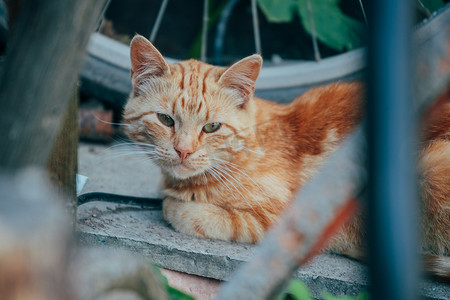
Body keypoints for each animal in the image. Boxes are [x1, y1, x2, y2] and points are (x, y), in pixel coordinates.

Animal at [123, 34, 450, 278]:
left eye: (212, 127)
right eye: (166, 120)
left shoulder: (288, 222)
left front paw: (176, 203)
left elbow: (181, 211)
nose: (183, 150)